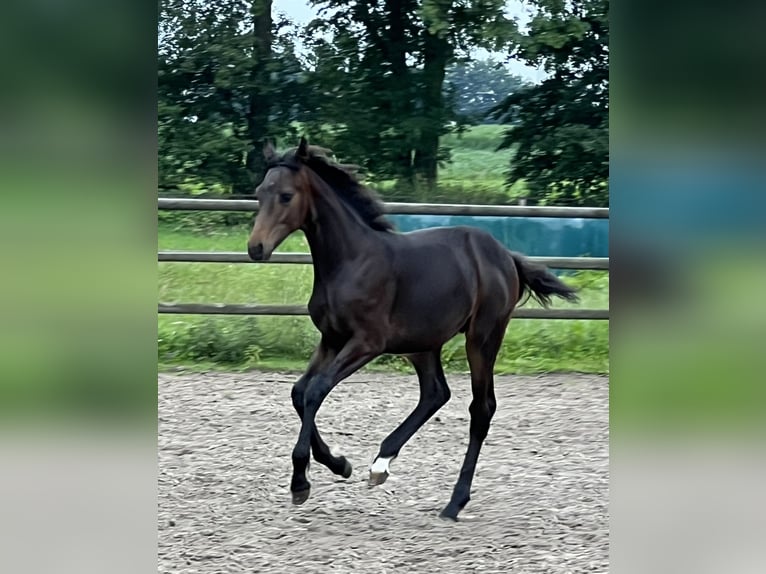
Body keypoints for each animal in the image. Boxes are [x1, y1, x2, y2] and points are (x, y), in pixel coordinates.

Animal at [249, 140, 580, 520]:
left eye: (286, 196)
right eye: (259, 193)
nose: (255, 248)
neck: (350, 261)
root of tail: (504, 255)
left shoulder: (367, 342)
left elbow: (316, 390)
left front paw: (301, 482)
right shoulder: (331, 339)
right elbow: (299, 392)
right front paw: (339, 464)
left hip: (482, 337)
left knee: (481, 409)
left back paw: (454, 502)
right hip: (423, 343)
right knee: (435, 393)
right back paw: (381, 464)